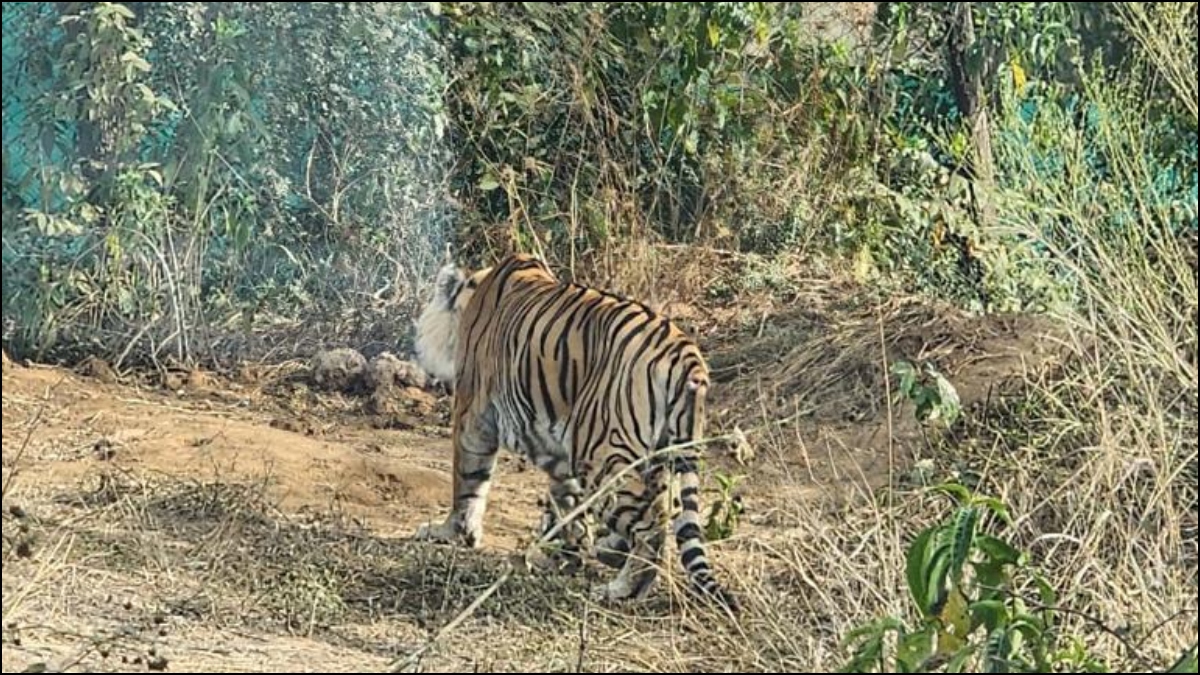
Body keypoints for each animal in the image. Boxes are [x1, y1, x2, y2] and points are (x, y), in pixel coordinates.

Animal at [408, 252, 734, 610]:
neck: (474, 290)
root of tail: (686, 356)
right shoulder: (555, 446)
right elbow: (564, 502)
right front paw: (564, 554)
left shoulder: (473, 416)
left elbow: (467, 481)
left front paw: (452, 532)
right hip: (658, 454)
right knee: (662, 511)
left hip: (601, 454)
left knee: (653, 523)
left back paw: (620, 589)